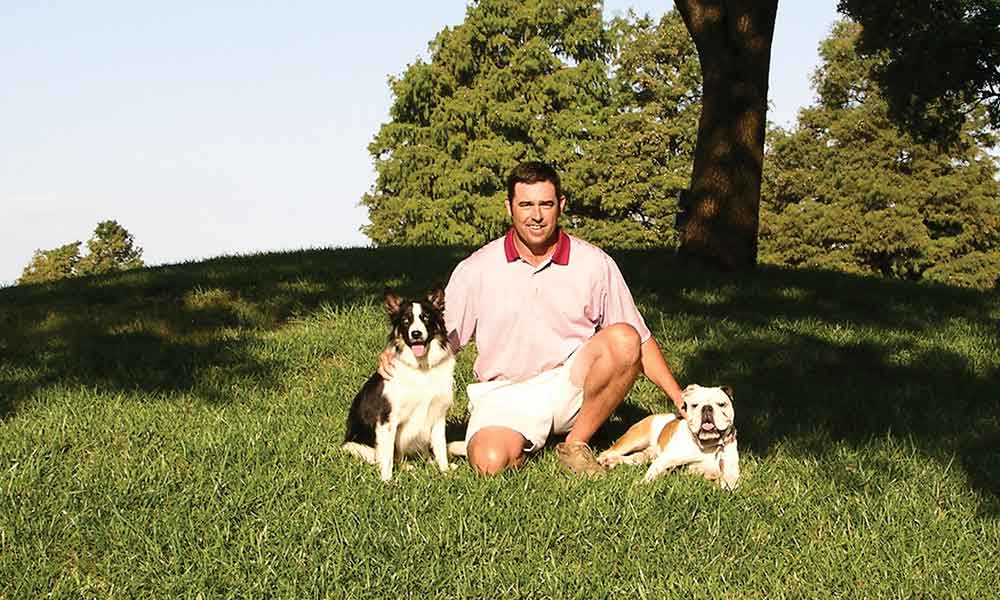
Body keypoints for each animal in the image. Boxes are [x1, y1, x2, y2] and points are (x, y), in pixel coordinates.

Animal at [342, 286, 456, 482]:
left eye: (426, 317)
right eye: (405, 320)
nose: (416, 334)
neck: (421, 368)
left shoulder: (437, 414)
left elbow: (440, 448)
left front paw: (445, 471)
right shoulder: (387, 419)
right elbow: (387, 456)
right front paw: (387, 482)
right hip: (356, 446)